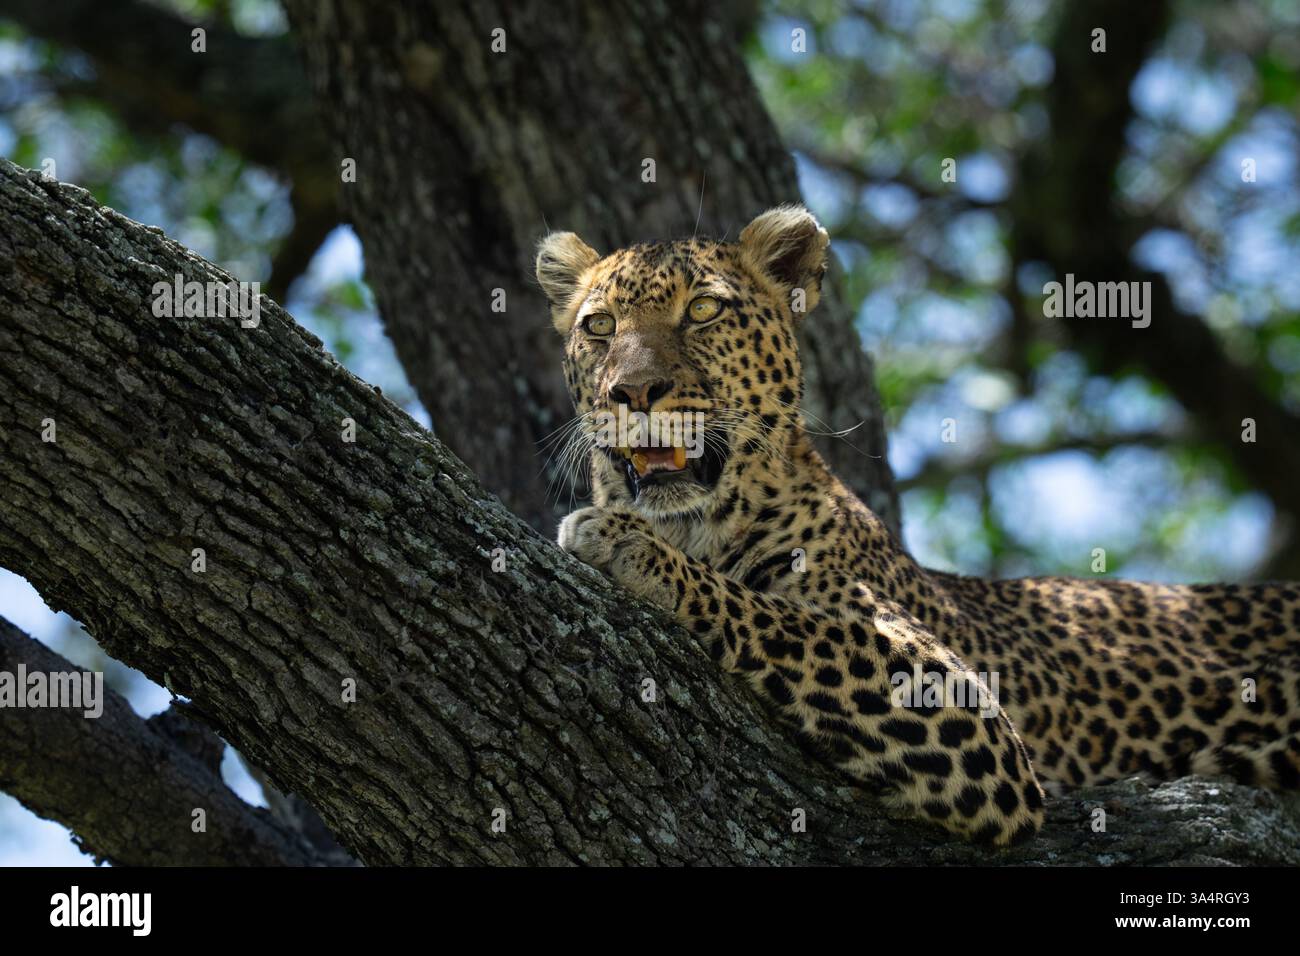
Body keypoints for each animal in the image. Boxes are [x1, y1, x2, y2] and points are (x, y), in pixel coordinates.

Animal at [535, 204, 1300, 846]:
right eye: (599, 326)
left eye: (702, 310)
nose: (632, 391)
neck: (699, 526)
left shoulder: (974, 719)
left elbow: (788, 620)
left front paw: (629, 545)